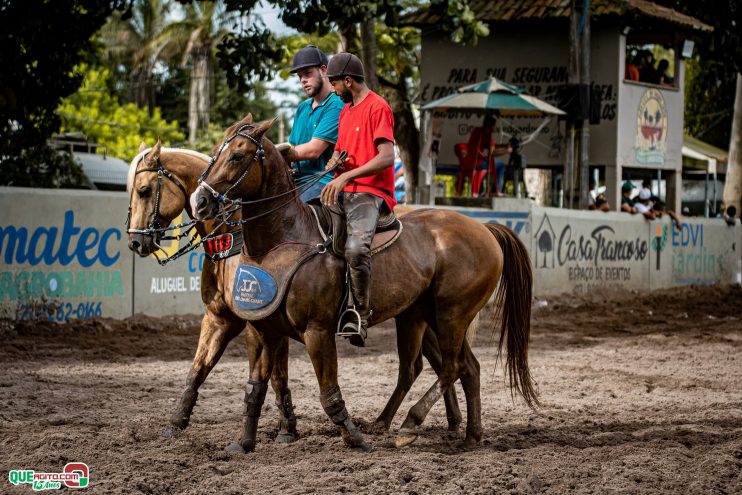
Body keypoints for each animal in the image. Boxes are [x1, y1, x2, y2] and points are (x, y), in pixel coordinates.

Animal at [125, 139, 468, 446]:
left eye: (144, 190)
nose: (136, 242)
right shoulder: (222, 318)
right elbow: (201, 369)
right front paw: (176, 424)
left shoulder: (256, 323)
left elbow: (273, 374)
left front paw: (285, 429)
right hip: (419, 314)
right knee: (447, 363)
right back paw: (451, 424)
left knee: (446, 364)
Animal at [192, 115, 540, 454]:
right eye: (216, 153)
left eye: (237, 156)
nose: (200, 201)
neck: (286, 239)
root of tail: (484, 228)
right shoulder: (266, 329)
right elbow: (256, 388)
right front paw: (244, 442)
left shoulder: (317, 332)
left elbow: (328, 392)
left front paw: (354, 439)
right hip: (423, 314)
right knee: (461, 367)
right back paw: (468, 435)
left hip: (452, 313)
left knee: (451, 366)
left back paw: (411, 424)